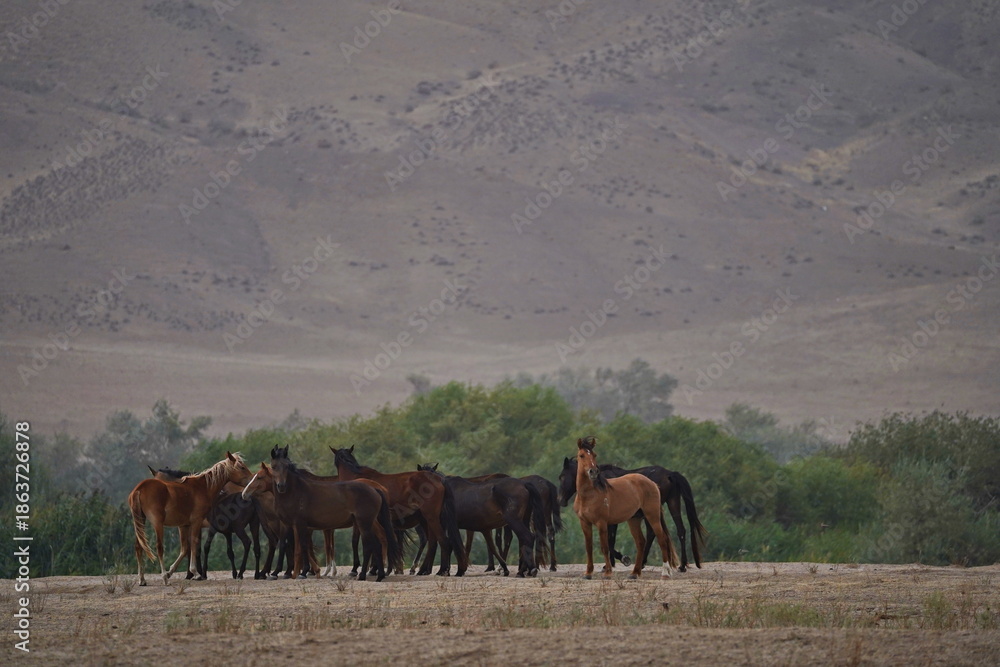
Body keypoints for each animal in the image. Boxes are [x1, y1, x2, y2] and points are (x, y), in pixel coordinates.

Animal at [128, 452, 254, 585]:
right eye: (242, 467)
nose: (251, 480)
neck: (202, 487)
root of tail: (139, 489)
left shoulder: (186, 525)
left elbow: (186, 549)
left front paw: (182, 572)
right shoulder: (195, 522)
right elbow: (194, 546)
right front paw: (195, 573)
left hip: (141, 521)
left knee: (139, 547)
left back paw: (142, 579)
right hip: (157, 523)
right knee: (158, 547)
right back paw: (163, 578)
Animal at [330, 446, 467, 576]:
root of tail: (438, 479)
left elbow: (356, 542)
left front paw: (357, 569)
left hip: (431, 518)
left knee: (443, 541)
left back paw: (441, 570)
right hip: (428, 520)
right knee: (433, 542)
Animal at [558, 457, 706, 572]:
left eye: (562, 477)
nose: (560, 500)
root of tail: (670, 474)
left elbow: (609, 540)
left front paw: (622, 559)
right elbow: (611, 539)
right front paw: (610, 564)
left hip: (652, 510)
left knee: (652, 533)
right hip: (672, 503)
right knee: (680, 530)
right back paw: (681, 565)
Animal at [572, 437, 678, 579]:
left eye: (594, 455)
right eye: (581, 455)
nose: (593, 472)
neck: (589, 495)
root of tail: (652, 483)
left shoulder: (602, 523)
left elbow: (605, 547)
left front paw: (608, 572)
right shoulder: (584, 523)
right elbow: (589, 547)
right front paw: (588, 573)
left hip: (652, 516)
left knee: (662, 539)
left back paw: (665, 572)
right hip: (634, 519)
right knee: (640, 542)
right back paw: (635, 573)